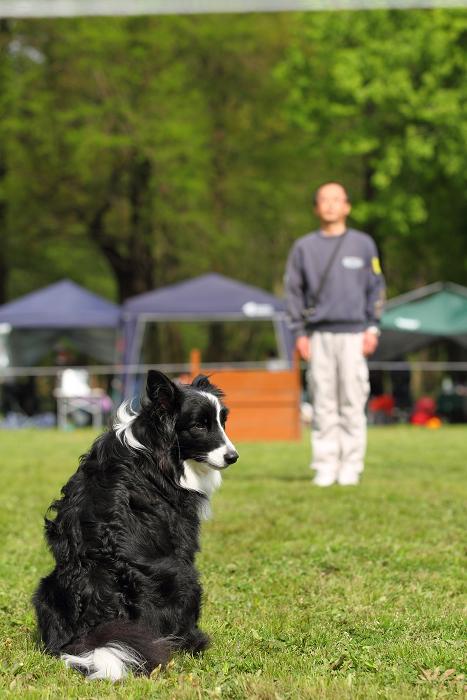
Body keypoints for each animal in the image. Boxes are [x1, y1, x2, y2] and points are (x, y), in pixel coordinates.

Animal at [33, 372, 238, 680]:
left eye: (222, 422)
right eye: (200, 425)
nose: (233, 457)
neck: (152, 446)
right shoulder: (183, 539)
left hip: (45, 589)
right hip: (187, 580)